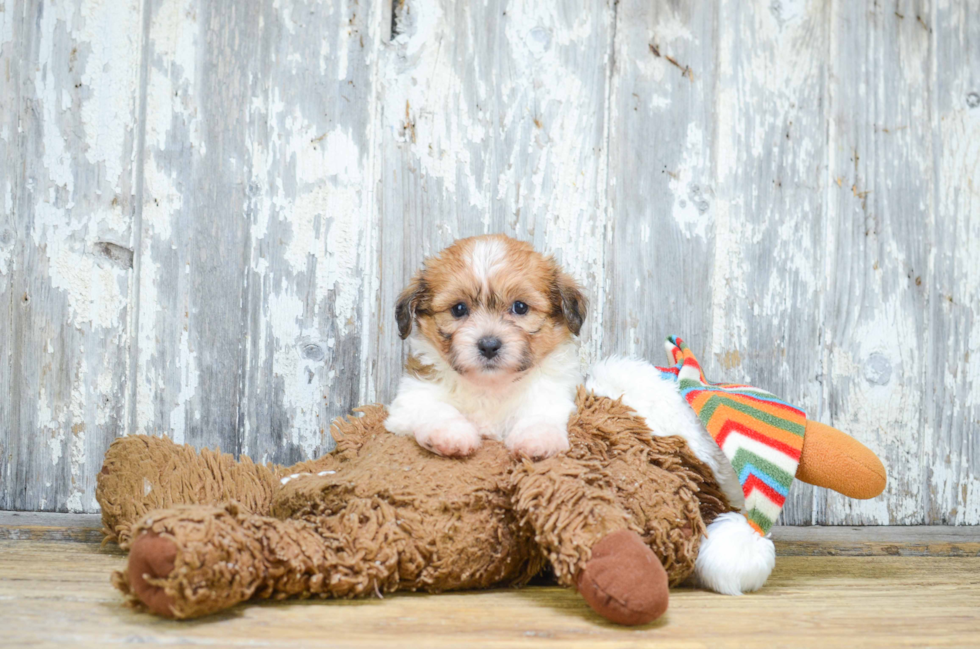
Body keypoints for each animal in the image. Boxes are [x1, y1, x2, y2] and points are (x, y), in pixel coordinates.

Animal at [382, 235, 584, 458]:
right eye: (458, 309)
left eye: (520, 307)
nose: (489, 346)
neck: (490, 386)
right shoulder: (410, 399)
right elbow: (434, 407)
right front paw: (449, 432)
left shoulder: (553, 392)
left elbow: (542, 410)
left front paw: (538, 437)